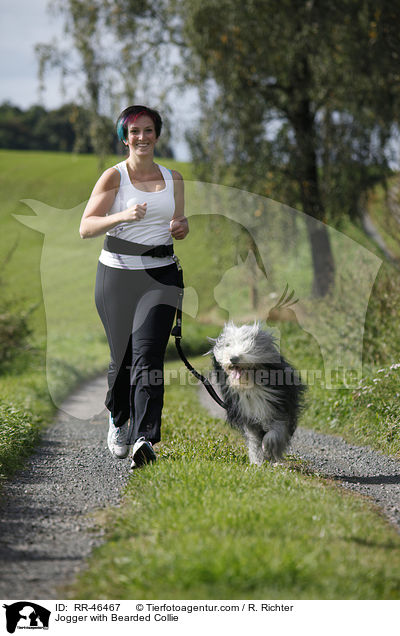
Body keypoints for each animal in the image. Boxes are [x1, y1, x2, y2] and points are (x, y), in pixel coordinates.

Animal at [211, 322, 304, 462]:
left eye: (249, 344)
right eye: (228, 344)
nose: (233, 358)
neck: (251, 385)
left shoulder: (279, 407)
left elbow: (276, 430)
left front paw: (269, 446)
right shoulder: (247, 416)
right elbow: (254, 442)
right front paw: (257, 462)